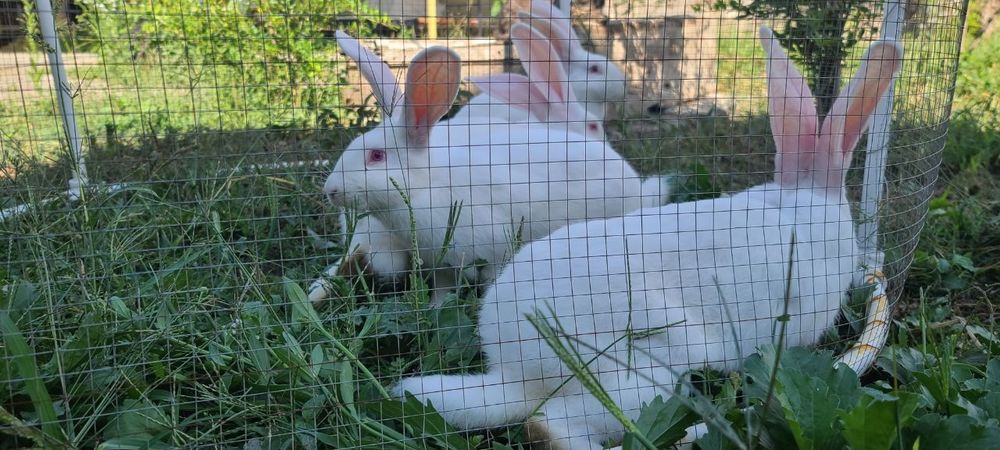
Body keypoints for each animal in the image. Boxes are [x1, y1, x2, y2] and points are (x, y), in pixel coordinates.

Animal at [323, 31, 662, 307]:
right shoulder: (440, 265)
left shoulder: (491, 253)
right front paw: (435, 309)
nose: (331, 191)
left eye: (376, 156)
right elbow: (442, 290)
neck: (427, 186)